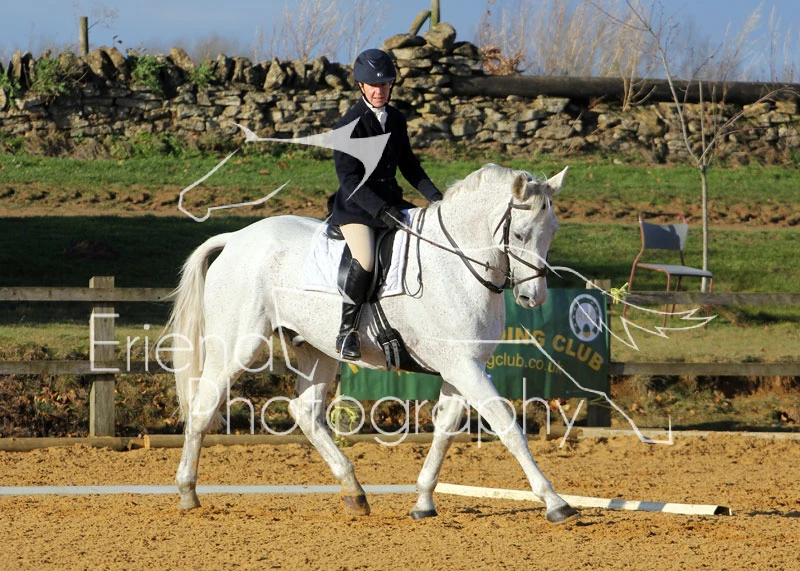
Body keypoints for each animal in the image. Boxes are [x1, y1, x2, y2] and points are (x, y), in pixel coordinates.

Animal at [167, 163, 579, 524]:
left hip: (317, 350)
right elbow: (509, 429)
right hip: (237, 346)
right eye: (521, 235)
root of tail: (236, 239)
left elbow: (445, 430)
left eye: (553, 232)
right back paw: (187, 492)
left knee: (306, 412)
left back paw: (354, 491)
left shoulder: (461, 366)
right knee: (202, 408)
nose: (533, 298)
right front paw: (556, 502)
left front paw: (424, 501)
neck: (458, 265)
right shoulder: (464, 366)